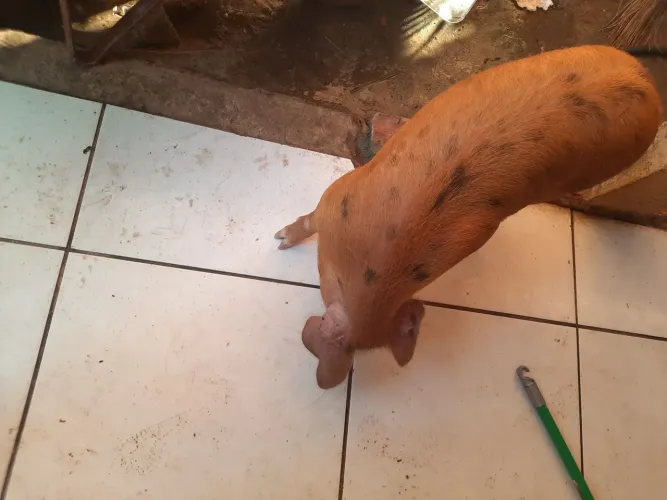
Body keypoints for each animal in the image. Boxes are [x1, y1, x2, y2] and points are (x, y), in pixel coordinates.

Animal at [274, 45, 662, 389]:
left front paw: (278, 241)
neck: (373, 269)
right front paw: (280, 241)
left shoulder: (338, 196)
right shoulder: (337, 196)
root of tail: (645, 81)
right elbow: (308, 220)